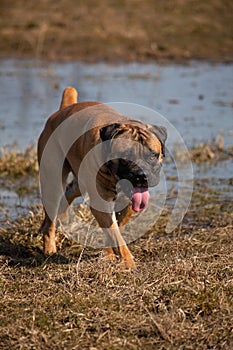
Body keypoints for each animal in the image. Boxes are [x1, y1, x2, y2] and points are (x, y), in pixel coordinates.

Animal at [37, 87, 167, 268]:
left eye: (153, 155)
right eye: (126, 157)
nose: (142, 175)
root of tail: (60, 112)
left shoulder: (127, 201)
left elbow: (116, 228)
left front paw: (110, 255)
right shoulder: (101, 202)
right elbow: (115, 234)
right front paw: (128, 263)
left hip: (79, 183)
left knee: (68, 193)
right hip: (52, 183)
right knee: (50, 220)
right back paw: (49, 249)